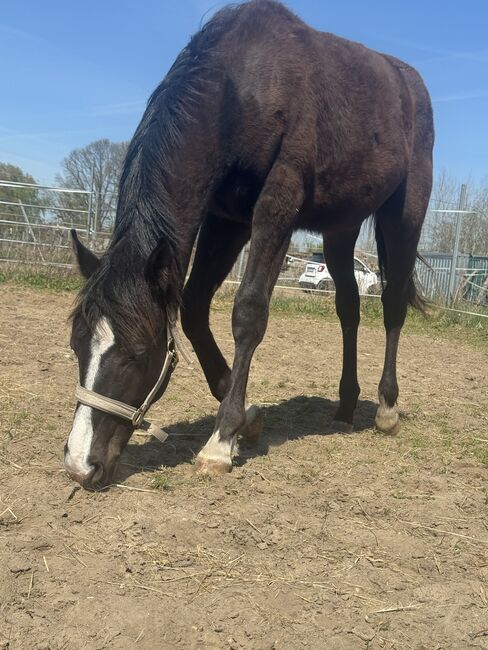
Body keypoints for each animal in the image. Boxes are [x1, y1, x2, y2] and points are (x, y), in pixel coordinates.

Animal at [65, 0, 434, 489]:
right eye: (77, 345)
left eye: (137, 354)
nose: (80, 465)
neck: (242, 86)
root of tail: (411, 83)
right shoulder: (226, 220)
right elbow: (194, 307)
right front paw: (249, 420)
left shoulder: (275, 210)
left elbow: (249, 313)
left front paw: (221, 440)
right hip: (341, 228)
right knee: (349, 308)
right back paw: (345, 406)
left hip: (404, 215)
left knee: (392, 304)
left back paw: (386, 408)